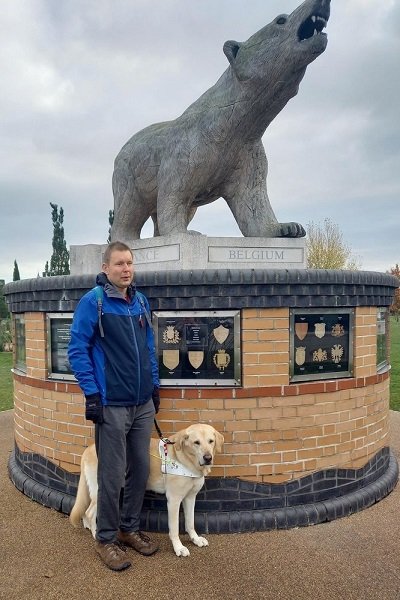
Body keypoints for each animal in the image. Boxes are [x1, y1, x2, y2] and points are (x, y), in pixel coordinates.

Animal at [70, 422, 223, 556]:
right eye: (196, 442)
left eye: (211, 441)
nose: (208, 457)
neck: (187, 460)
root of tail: (88, 448)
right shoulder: (174, 500)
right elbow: (174, 528)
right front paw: (179, 548)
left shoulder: (190, 498)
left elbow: (190, 522)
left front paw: (195, 539)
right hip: (100, 490)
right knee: (90, 512)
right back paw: (96, 534)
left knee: (85, 511)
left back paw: (87, 526)